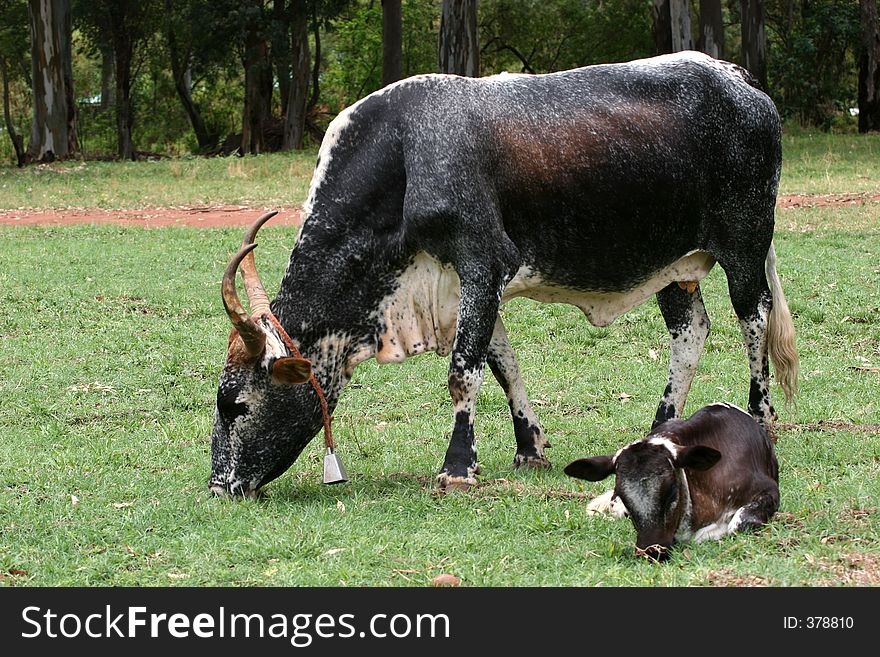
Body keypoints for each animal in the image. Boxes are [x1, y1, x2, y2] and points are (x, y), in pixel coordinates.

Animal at [208, 52, 796, 498]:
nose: (220, 487)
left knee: (754, 320)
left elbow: (462, 372)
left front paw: (457, 467)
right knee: (690, 330)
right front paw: (528, 446)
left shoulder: (482, 263)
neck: (405, 157)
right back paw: (659, 429)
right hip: (674, 267)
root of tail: (738, 78)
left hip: (744, 247)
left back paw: (762, 418)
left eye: (234, 406)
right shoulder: (467, 288)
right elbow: (501, 364)